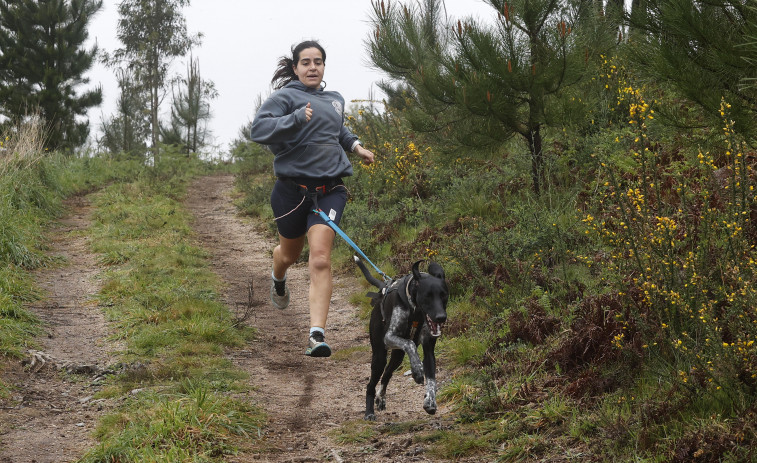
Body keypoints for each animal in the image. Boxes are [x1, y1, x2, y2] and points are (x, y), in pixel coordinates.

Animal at [352, 256, 446, 422]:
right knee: (371, 384)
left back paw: (381, 398)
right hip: (379, 356)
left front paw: (430, 401)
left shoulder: (428, 350)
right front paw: (417, 369)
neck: (416, 312)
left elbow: (431, 380)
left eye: (444, 295)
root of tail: (383, 287)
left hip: (398, 357)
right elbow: (410, 344)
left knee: (387, 374)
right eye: (427, 296)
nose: (441, 317)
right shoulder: (389, 337)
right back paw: (369, 411)